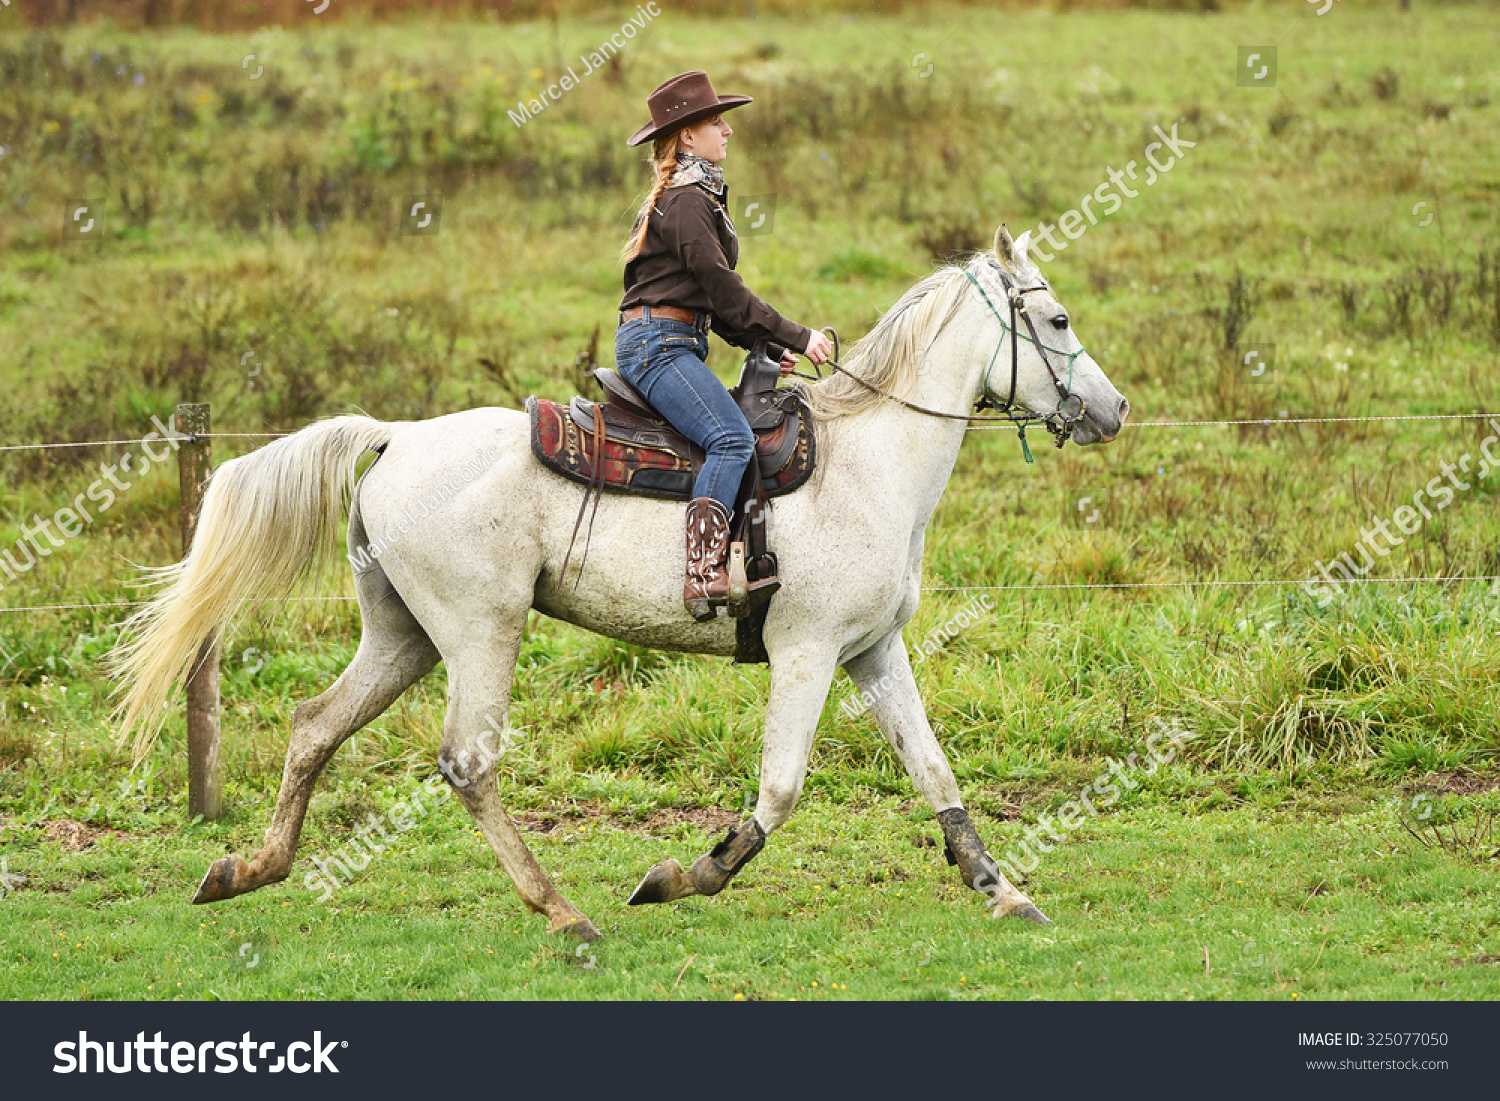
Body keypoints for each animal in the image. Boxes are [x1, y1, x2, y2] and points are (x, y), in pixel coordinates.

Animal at [114, 228, 1128, 942]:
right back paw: (563, 910)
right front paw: (681, 876)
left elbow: (934, 769)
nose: (1114, 409)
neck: (864, 461)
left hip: (402, 634)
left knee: (315, 724)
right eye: (1058, 321)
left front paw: (1004, 889)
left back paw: (246, 869)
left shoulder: (873, 649)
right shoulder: (804, 651)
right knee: (467, 762)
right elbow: (780, 790)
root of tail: (394, 437)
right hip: (481, 630)